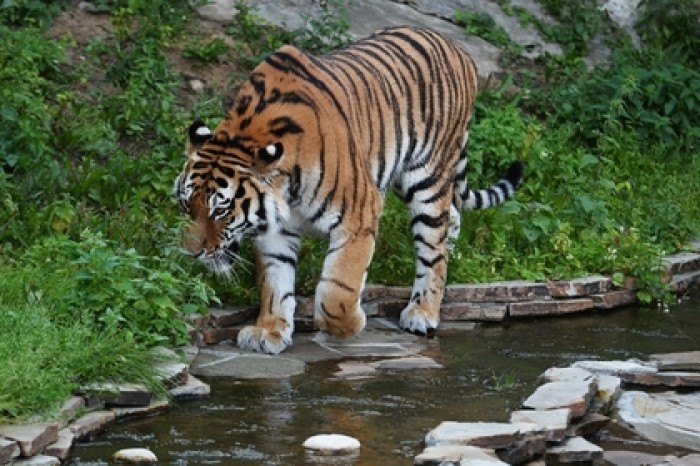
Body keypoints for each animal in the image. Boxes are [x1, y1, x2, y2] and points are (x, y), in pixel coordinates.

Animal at [176, 26, 520, 354]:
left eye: (221, 210)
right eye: (186, 205)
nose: (191, 253)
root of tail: (458, 48)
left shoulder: (359, 214)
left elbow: (337, 288)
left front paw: (351, 324)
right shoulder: (276, 230)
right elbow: (275, 283)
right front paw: (269, 331)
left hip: (427, 178)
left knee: (433, 249)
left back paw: (422, 312)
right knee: (452, 216)